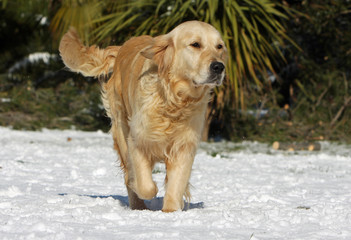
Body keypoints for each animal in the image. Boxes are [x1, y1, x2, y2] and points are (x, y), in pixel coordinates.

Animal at [59, 21, 227, 212]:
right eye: (195, 44)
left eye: (219, 46)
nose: (219, 66)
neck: (173, 100)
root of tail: (122, 47)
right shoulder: (137, 140)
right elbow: (145, 186)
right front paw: (142, 188)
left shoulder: (184, 145)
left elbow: (176, 183)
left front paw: (171, 210)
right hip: (121, 128)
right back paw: (138, 204)